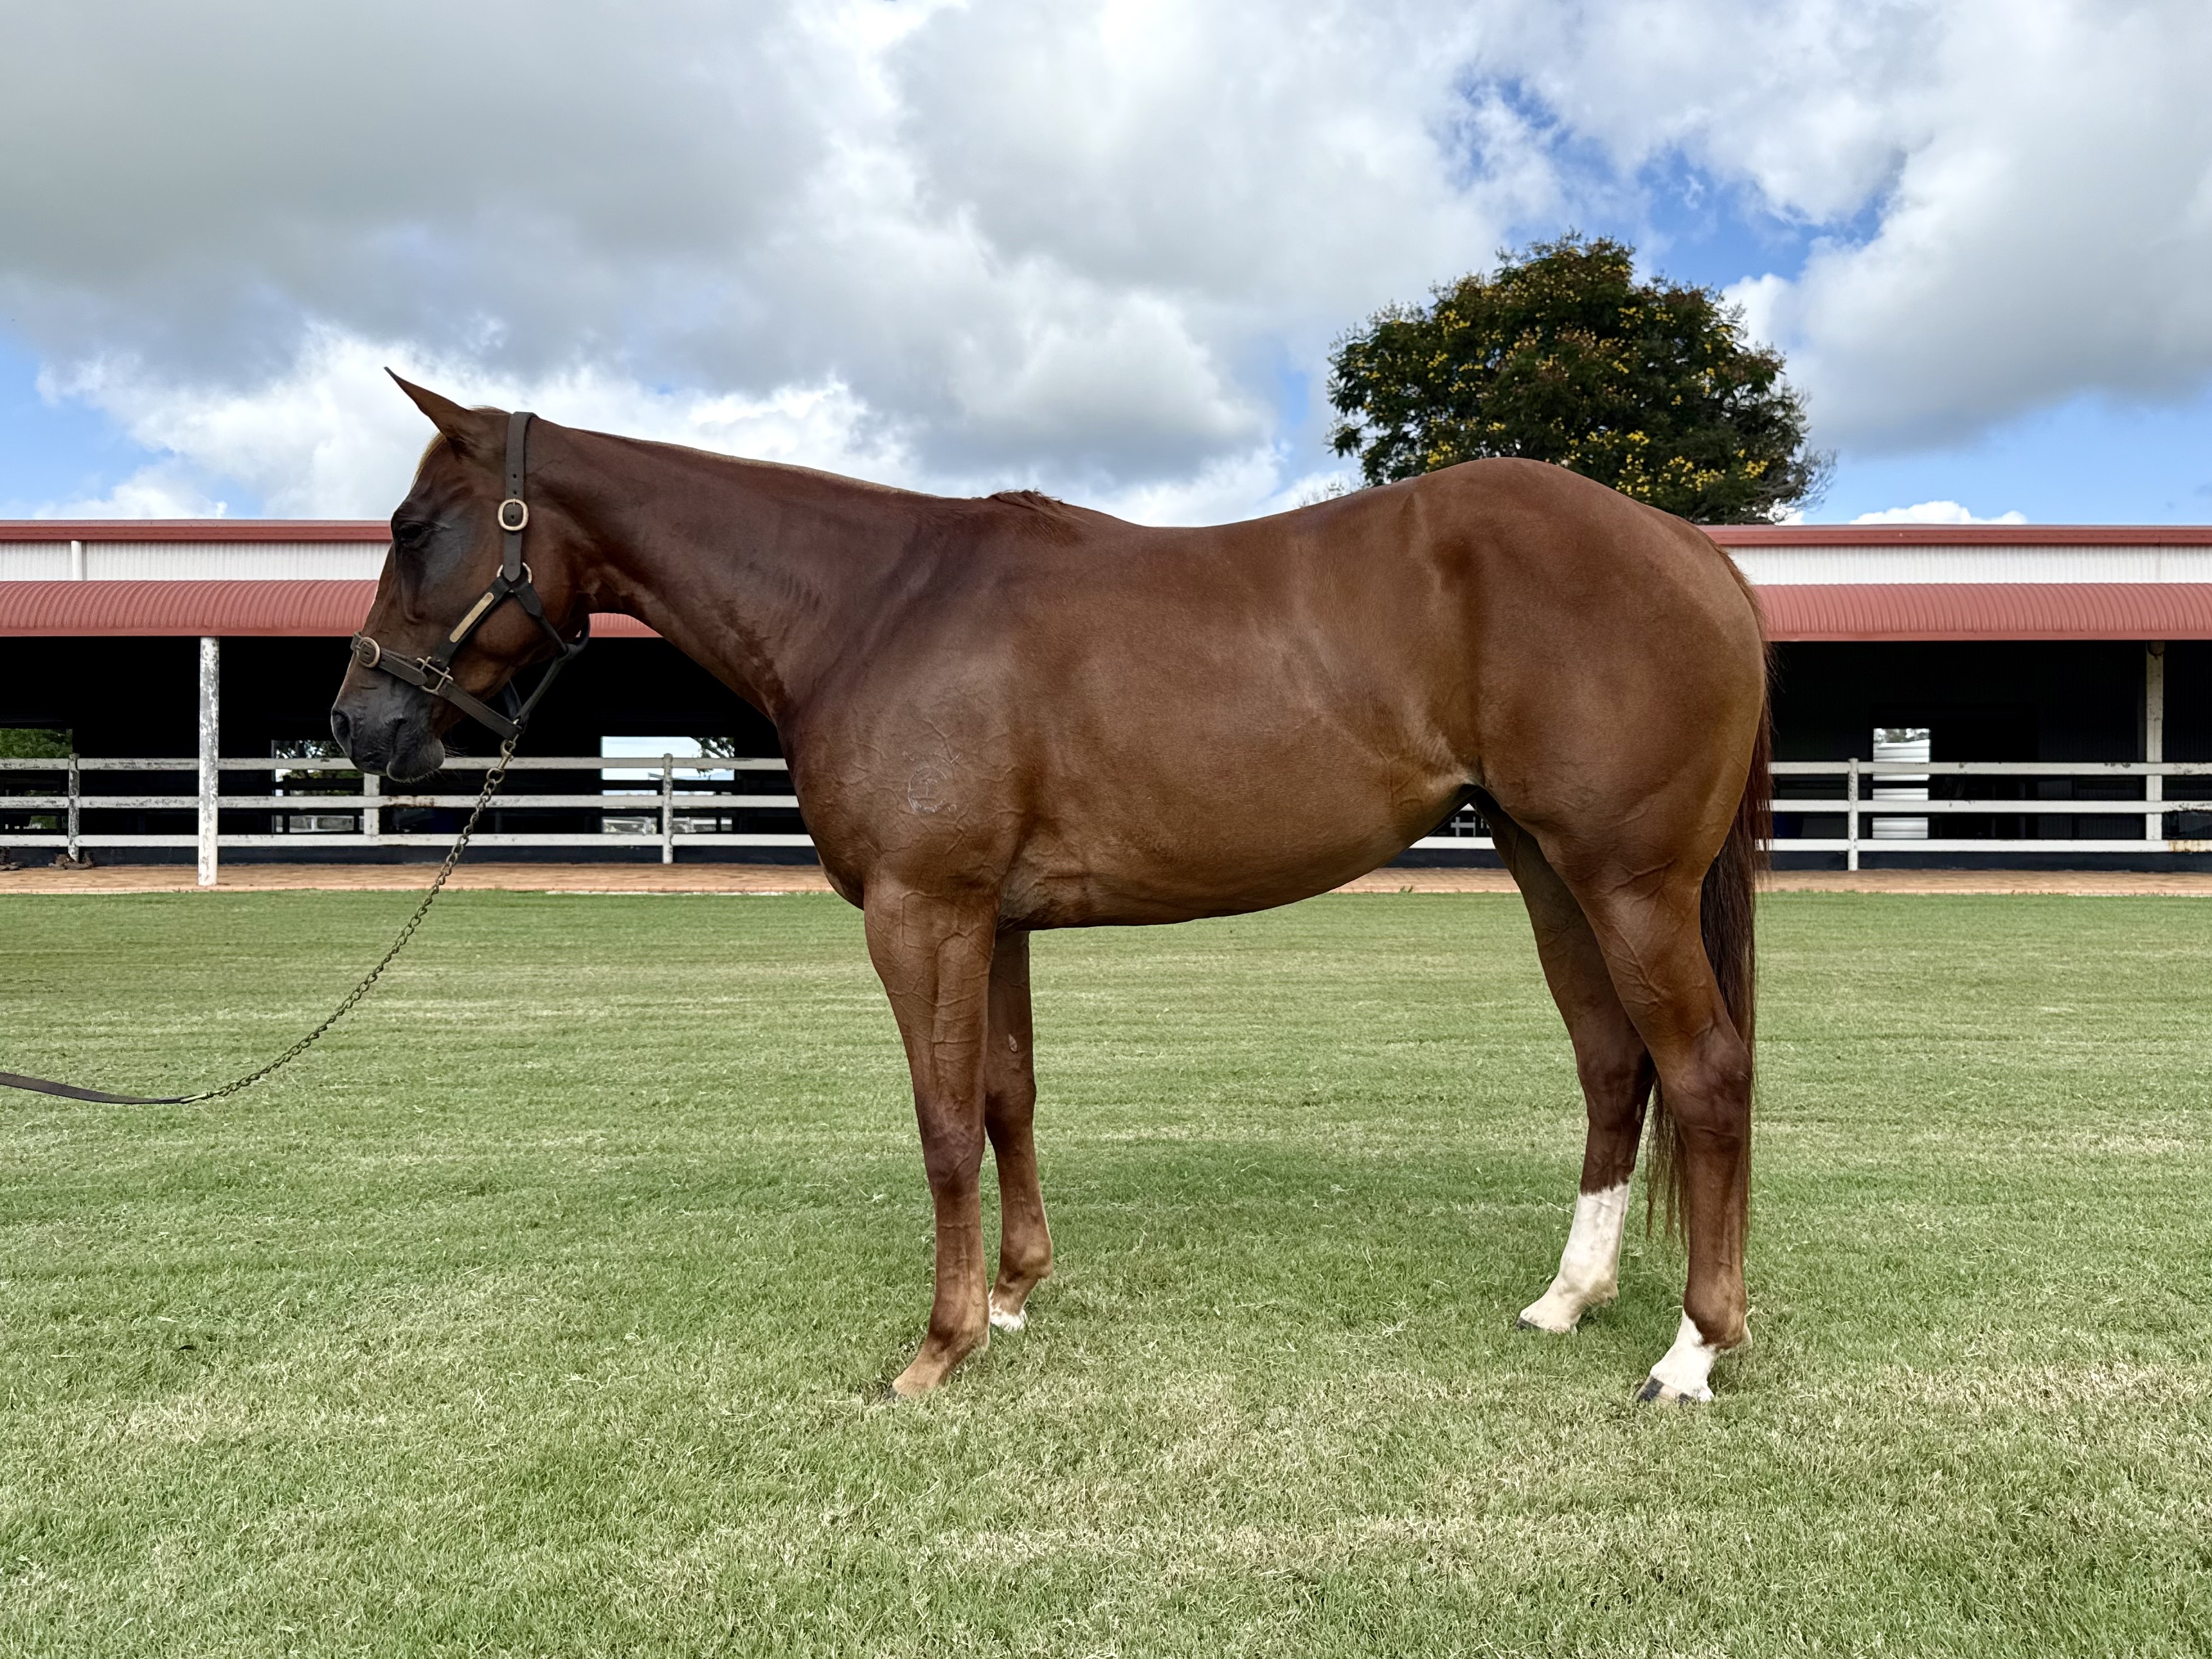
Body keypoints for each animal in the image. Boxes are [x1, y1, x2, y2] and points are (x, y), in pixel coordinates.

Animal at [332, 378, 1770, 1404]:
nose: (358, 726)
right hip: (1549, 869)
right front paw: (1017, 1295)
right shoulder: (995, 920)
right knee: (1613, 1068)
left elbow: (938, 1122)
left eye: (412, 528)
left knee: (1701, 1072)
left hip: (1628, 883)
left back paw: (1692, 1352)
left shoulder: (921, 913)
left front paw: (940, 1344)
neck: (872, 606)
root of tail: (1693, 553)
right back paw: (1567, 1299)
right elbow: (1004, 1098)